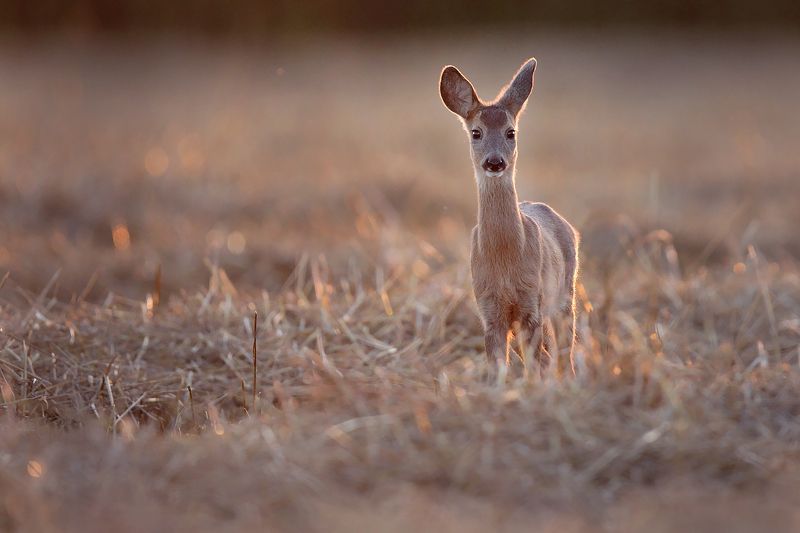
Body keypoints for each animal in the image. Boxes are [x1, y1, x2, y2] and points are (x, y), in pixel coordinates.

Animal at [438, 58, 579, 378]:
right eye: (476, 132)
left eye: (510, 132)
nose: (494, 162)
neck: (505, 259)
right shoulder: (488, 307)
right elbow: (498, 366)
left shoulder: (531, 302)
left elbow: (536, 362)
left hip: (565, 292)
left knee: (563, 348)